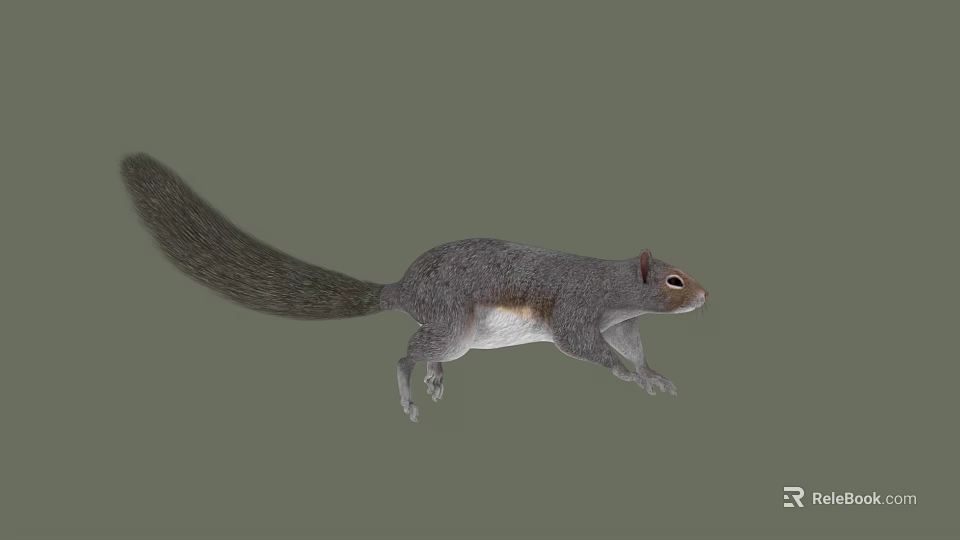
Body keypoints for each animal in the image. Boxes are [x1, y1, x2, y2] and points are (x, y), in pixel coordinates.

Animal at [120, 153, 709, 422]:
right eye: (674, 280)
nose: (705, 295)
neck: (612, 286)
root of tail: (402, 290)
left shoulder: (622, 321)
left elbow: (632, 345)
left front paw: (650, 374)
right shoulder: (578, 308)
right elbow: (582, 345)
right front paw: (624, 374)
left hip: (454, 332)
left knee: (424, 350)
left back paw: (435, 376)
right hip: (453, 321)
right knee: (403, 353)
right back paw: (409, 391)